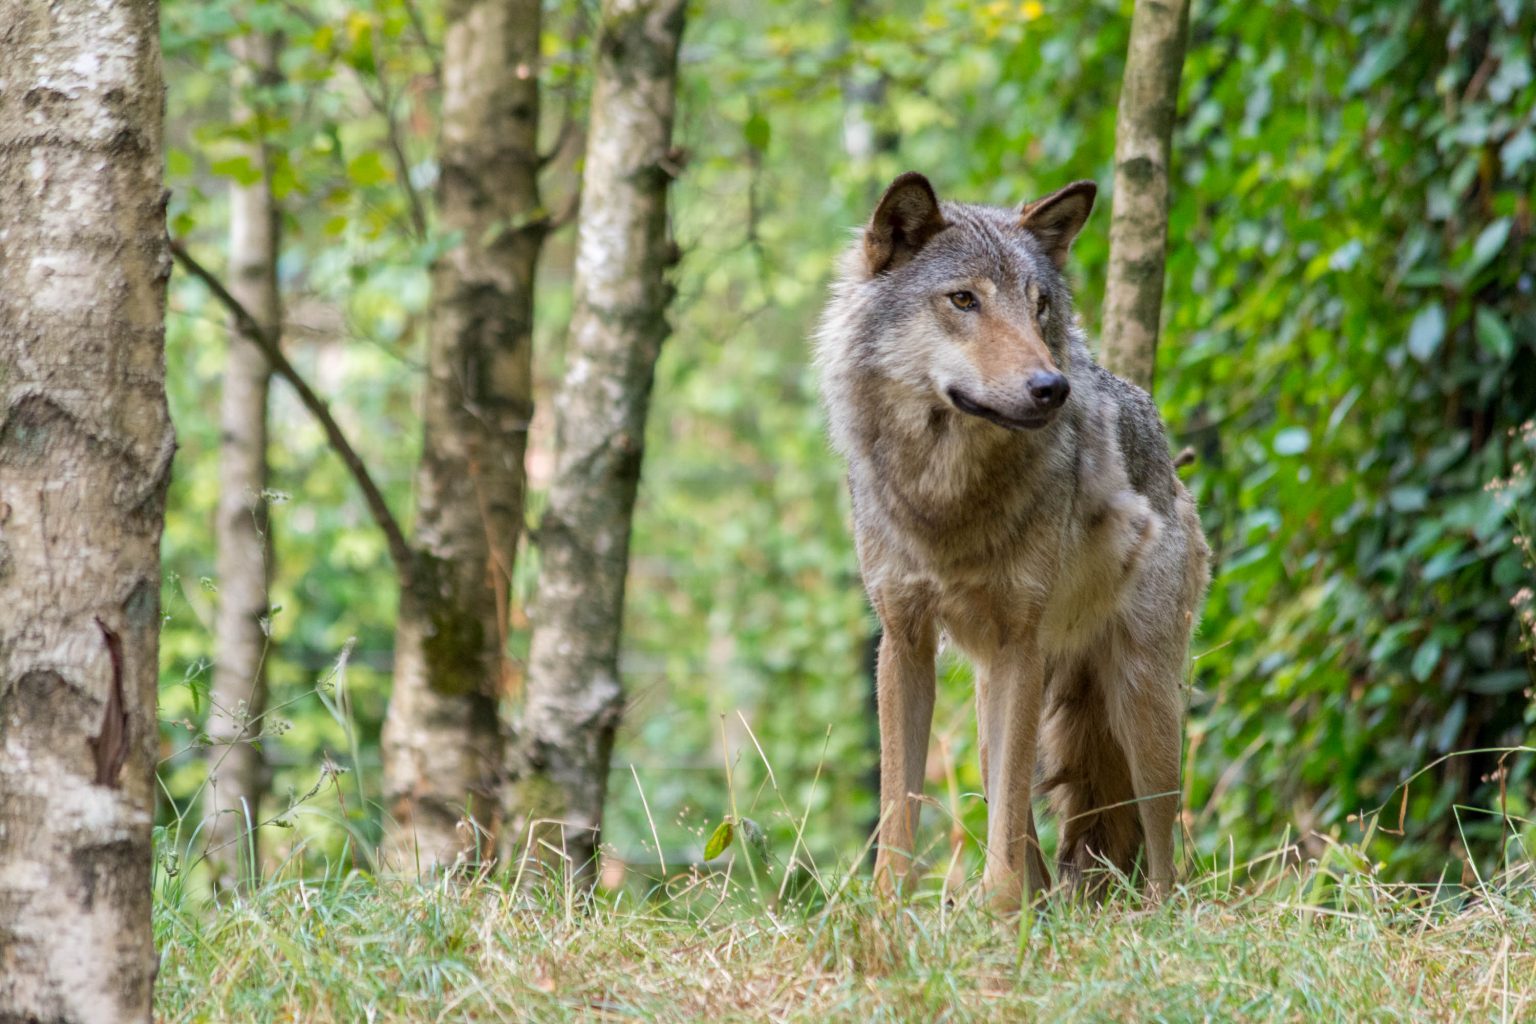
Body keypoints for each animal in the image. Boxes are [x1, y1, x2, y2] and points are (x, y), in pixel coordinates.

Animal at [811, 171, 1216, 908]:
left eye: (1040, 307)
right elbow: (898, 815)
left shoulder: (1018, 644)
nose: (1051, 387)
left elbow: (998, 835)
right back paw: (1042, 909)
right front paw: (887, 915)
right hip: (989, 709)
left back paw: (1146, 915)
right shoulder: (903, 642)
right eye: (963, 300)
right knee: (1034, 830)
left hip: (1141, 705)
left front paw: (1000, 918)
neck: (947, 497)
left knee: (1162, 853)